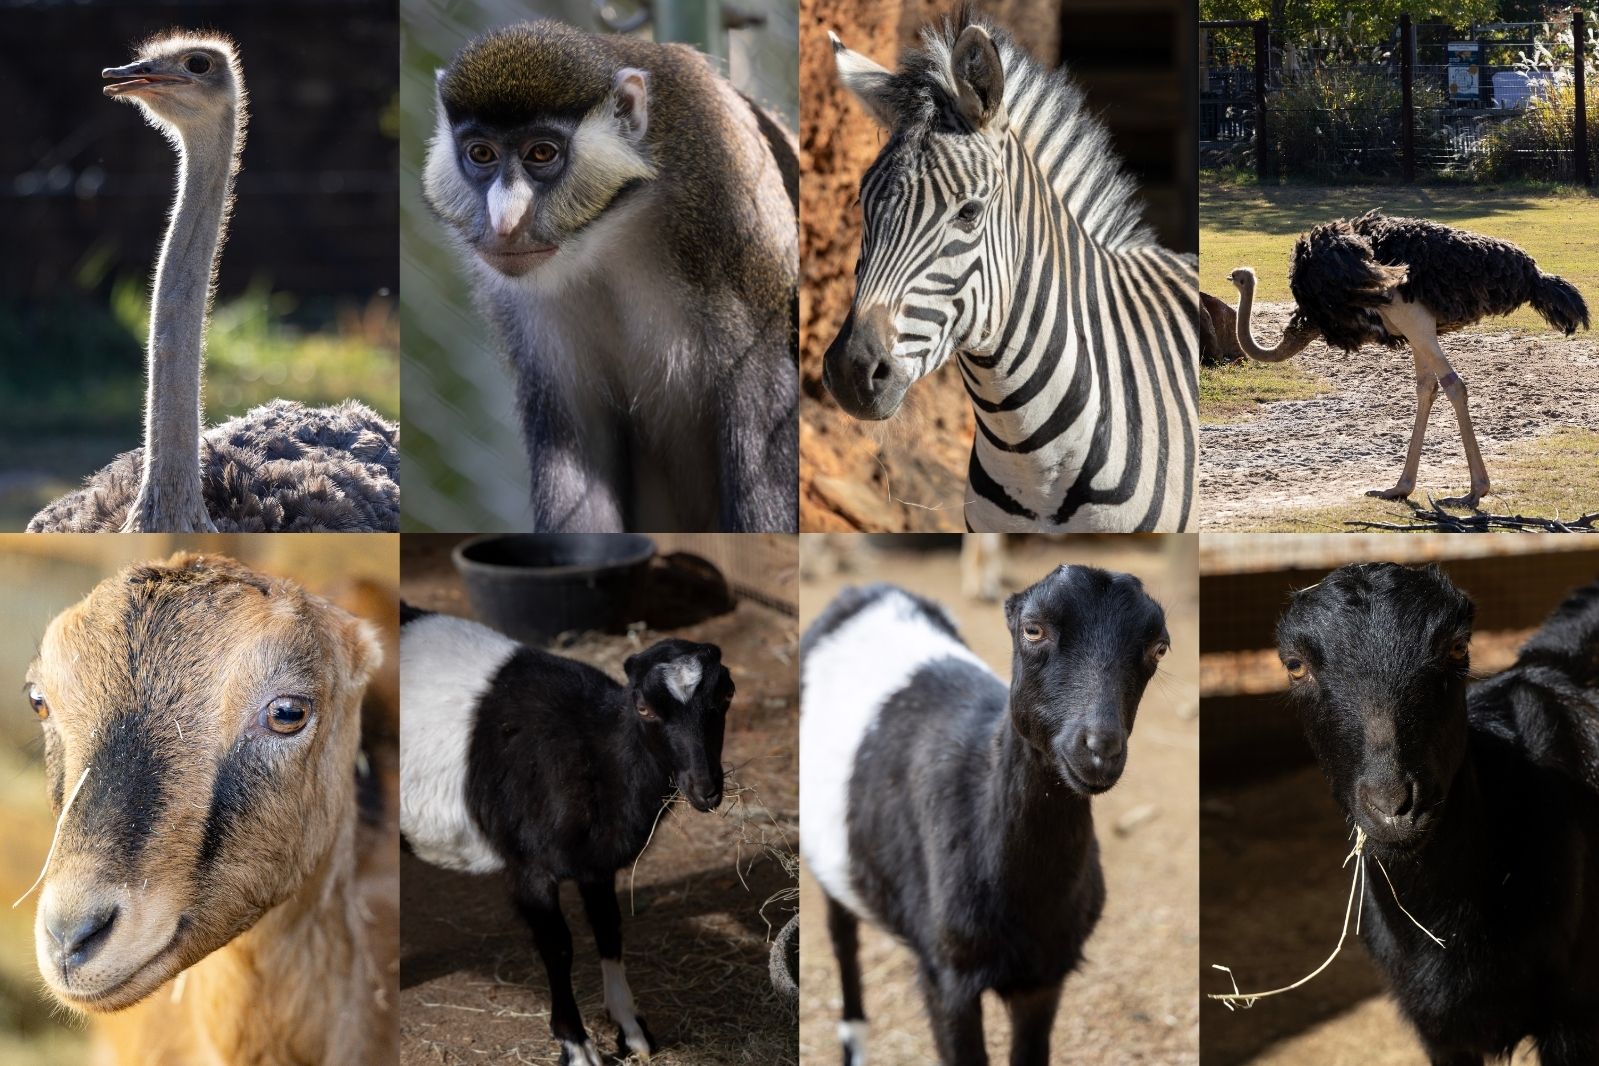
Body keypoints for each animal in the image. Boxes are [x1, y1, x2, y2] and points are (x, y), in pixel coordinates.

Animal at [399, 606, 734, 1066]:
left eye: (725, 697)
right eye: (644, 708)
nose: (706, 789)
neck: (594, 751)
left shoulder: (596, 863)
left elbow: (609, 931)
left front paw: (632, 1030)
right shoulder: (529, 866)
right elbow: (558, 947)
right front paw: (576, 1044)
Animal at [800, 565, 1170, 1065]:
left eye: (1158, 648)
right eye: (1032, 630)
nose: (1100, 749)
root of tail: (867, 592)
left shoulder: (1045, 975)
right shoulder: (948, 977)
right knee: (843, 939)